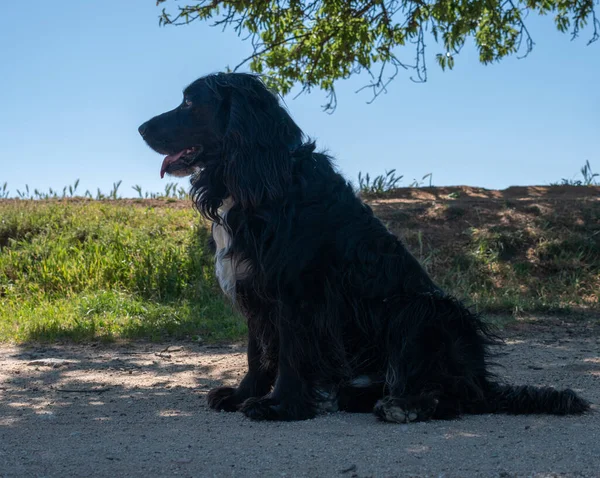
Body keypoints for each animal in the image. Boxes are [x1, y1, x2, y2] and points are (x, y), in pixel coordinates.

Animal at [137, 71, 592, 422]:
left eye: (190, 103)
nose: (140, 129)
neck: (259, 180)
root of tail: (480, 376)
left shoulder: (297, 292)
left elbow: (290, 352)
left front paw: (280, 406)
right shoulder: (256, 289)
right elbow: (258, 352)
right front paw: (242, 394)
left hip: (422, 310)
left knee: (458, 398)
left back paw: (404, 406)